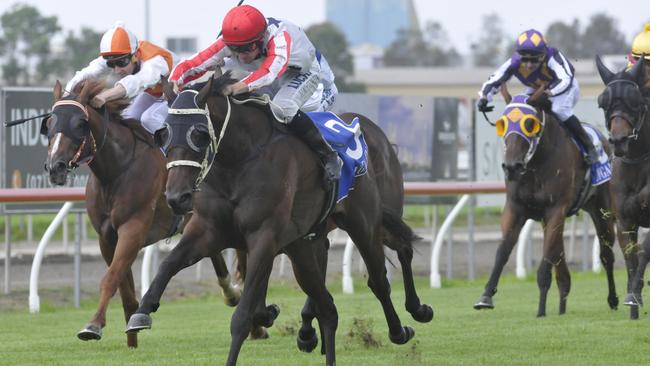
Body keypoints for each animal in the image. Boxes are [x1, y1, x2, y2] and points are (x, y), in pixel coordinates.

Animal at [42, 80, 240, 346]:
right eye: (50, 123)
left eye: (79, 124)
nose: (55, 167)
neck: (115, 172)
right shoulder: (107, 237)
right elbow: (124, 289)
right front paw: (132, 340)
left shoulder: (133, 229)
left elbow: (110, 278)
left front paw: (93, 325)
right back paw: (232, 294)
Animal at [125, 73, 430, 364]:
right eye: (163, 133)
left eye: (199, 134)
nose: (177, 197)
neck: (239, 161)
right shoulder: (208, 230)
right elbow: (168, 265)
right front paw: (142, 312)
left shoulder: (264, 237)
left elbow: (242, 317)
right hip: (305, 245)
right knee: (328, 304)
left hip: (364, 223)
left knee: (381, 276)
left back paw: (406, 324)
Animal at [470, 86, 616, 318]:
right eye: (502, 123)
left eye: (529, 124)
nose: (511, 166)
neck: (536, 165)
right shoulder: (515, 209)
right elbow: (502, 251)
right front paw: (485, 296)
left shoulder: (556, 210)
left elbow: (546, 258)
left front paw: (540, 309)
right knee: (562, 265)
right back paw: (563, 306)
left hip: (602, 208)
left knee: (606, 253)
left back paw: (615, 299)